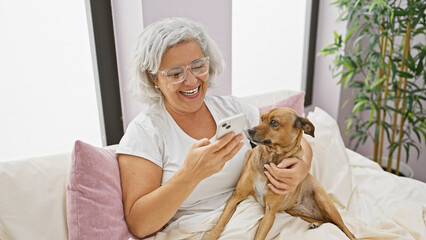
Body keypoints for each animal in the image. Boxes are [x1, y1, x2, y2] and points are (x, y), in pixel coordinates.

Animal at [203, 108, 356, 240]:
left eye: (273, 122)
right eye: (262, 118)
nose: (249, 130)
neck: (271, 158)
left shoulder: (270, 213)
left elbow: (259, 236)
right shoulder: (236, 197)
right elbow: (221, 222)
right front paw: (211, 236)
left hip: (324, 202)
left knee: (345, 229)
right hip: (294, 211)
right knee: (325, 221)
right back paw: (315, 224)